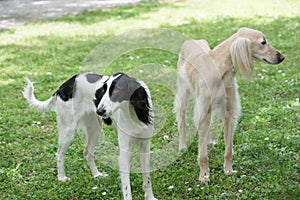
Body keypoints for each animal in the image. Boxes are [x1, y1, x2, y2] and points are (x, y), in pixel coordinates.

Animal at [22, 72, 157, 200]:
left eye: (117, 90)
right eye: (104, 90)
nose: (99, 111)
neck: (133, 113)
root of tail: (65, 85)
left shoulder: (145, 147)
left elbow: (147, 178)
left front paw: (150, 197)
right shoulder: (124, 152)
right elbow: (126, 188)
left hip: (95, 129)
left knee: (87, 153)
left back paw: (97, 175)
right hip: (69, 131)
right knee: (59, 154)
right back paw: (61, 177)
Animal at [173, 27, 284, 182]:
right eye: (263, 42)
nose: (281, 57)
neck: (220, 70)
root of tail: (190, 40)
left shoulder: (229, 113)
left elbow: (229, 149)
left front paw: (228, 170)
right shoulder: (203, 108)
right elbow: (203, 155)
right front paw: (204, 175)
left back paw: (209, 141)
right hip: (184, 95)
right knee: (182, 121)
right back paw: (182, 146)